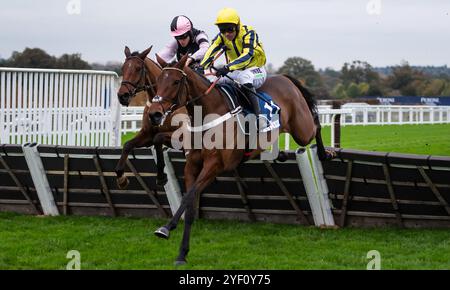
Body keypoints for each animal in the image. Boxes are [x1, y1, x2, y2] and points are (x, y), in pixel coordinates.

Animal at [118, 46, 186, 188]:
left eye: (138, 68)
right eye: (123, 68)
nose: (122, 96)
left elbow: (158, 139)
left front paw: (161, 176)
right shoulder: (147, 135)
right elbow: (127, 145)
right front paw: (121, 178)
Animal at [148, 54, 334, 266]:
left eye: (176, 81)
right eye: (158, 81)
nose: (154, 113)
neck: (208, 114)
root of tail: (286, 79)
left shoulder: (215, 166)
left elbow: (188, 197)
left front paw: (166, 228)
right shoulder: (192, 165)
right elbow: (190, 205)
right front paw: (182, 253)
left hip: (302, 129)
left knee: (316, 124)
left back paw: (324, 153)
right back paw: (280, 154)